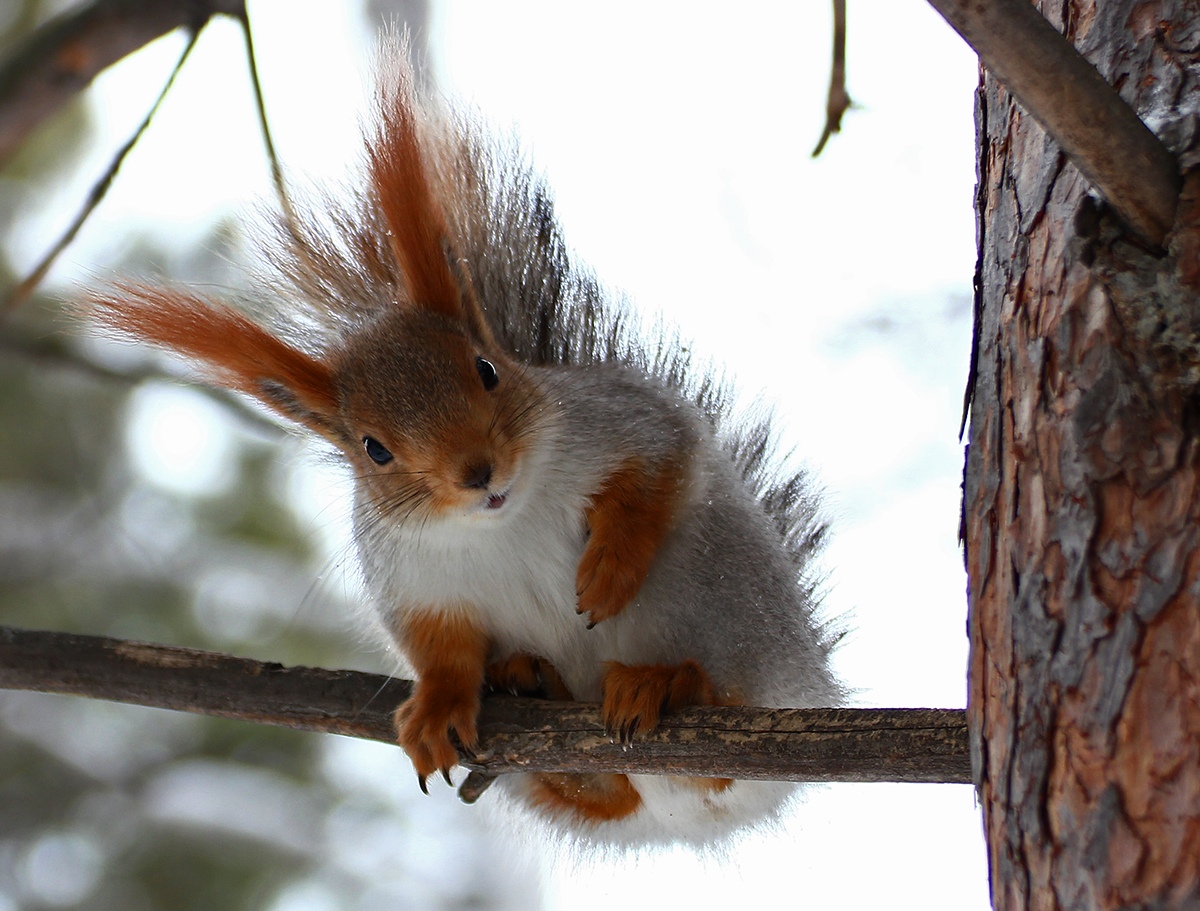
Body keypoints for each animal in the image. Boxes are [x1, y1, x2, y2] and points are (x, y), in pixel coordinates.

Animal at [87, 44, 844, 849]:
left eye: (486, 370)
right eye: (373, 449)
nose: (478, 473)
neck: (502, 520)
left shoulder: (622, 420)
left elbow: (661, 462)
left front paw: (611, 562)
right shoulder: (412, 576)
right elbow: (436, 645)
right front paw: (440, 706)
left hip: (719, 593)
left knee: (725, 698)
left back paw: (667, 681)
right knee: (608, 793)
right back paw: (542, 702)